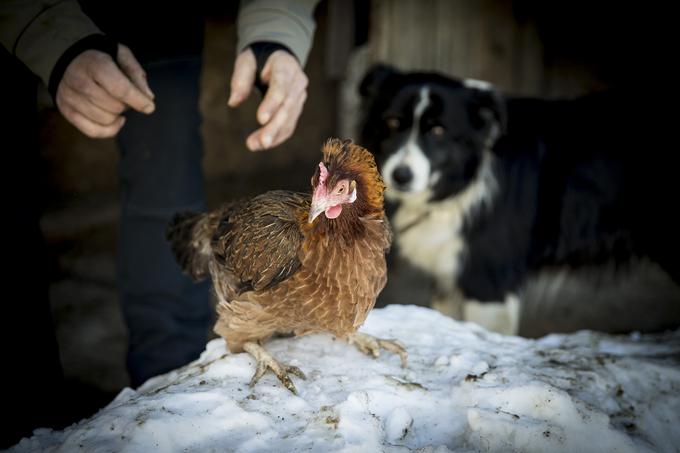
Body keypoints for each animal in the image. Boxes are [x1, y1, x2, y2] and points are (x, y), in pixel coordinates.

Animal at [358, 63, 676, 332]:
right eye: (392, 124)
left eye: (438, 130)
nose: (401, 176)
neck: (465, 182)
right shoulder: (449, 277)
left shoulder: (489, 278)